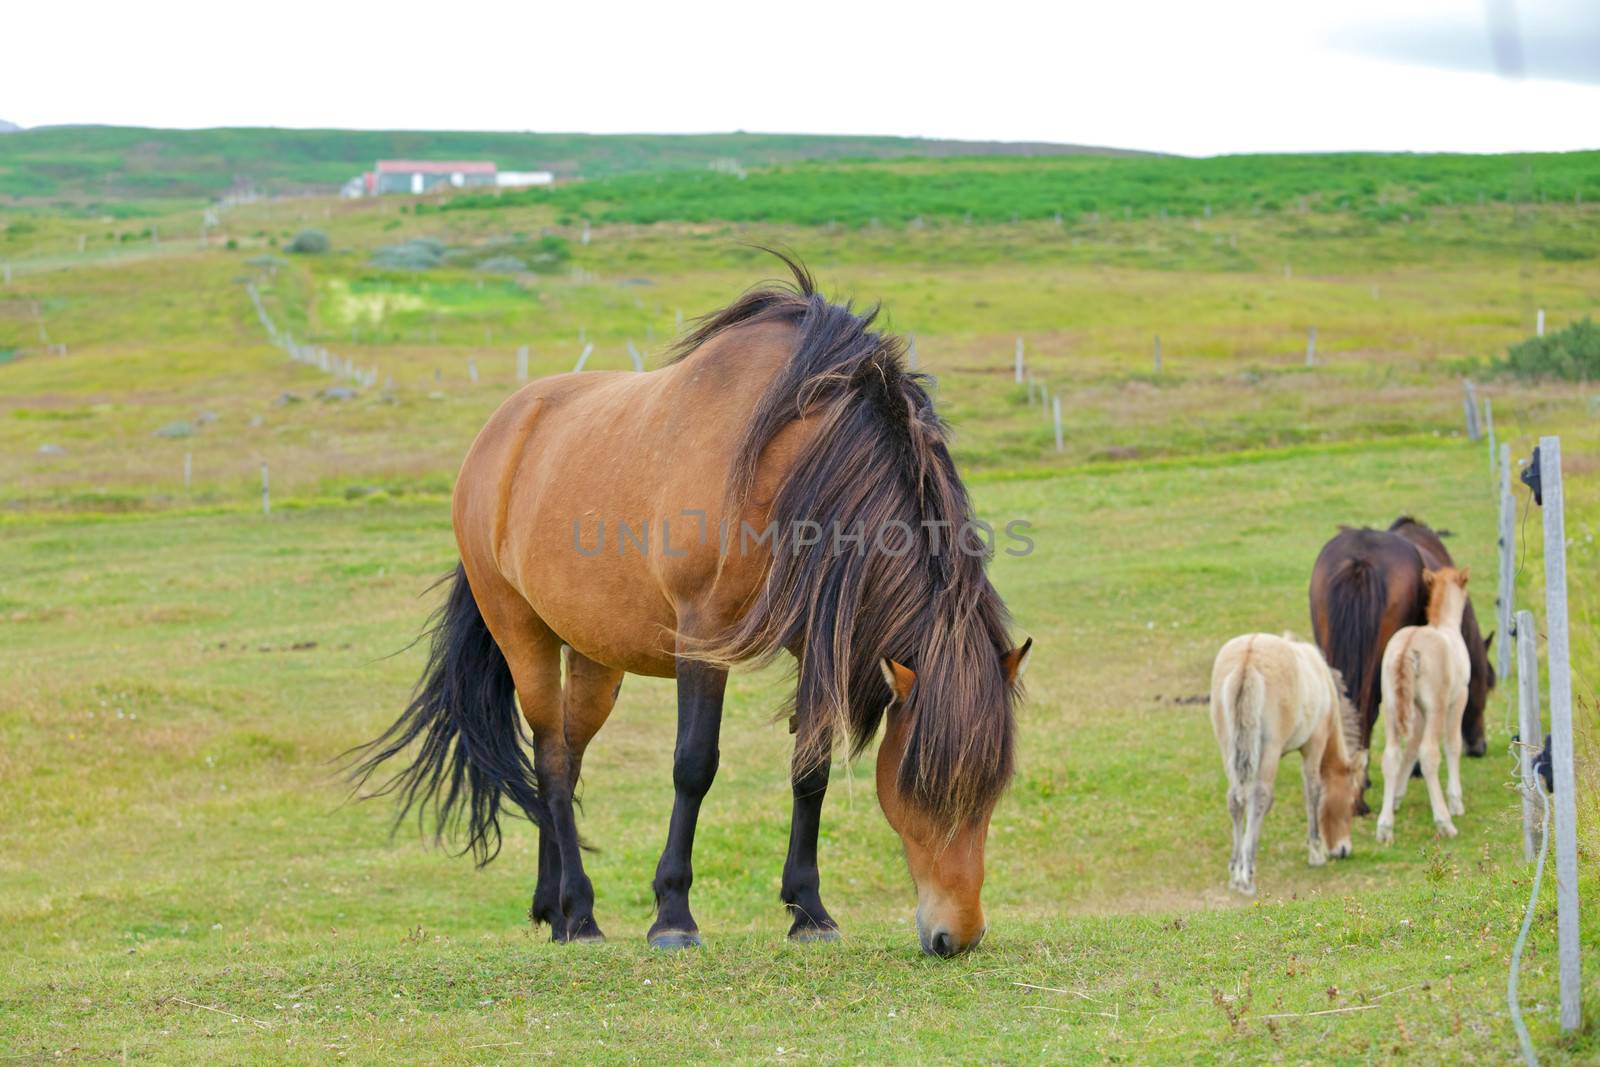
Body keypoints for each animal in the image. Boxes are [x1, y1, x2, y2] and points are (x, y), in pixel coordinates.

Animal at [350, 259, 1030, 959]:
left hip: (594, 657)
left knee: (566, 753)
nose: (958, 935)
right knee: (551, 756)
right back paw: (580, 913)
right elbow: (694, 765)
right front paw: (673, 915)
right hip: (522, 633)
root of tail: (499, 432)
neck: (787, 464)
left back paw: (555, 911)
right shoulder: (703, 636)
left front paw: (809, 912)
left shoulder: (811, 641)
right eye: (922, 785)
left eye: (994, 790)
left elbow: (809, 768)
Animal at [1209, 633, 1363, 895]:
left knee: (1235, 799)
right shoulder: (1314, 744)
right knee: (1259, 795)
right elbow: (1312, 791)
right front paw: (1316, 852)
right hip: (1269, 747)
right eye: (1352, 803)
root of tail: (1247, 659)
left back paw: (1235, 872)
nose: (1343, 850)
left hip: (1229, 746)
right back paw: (1247, 874)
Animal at [1376, 566, 1472, 844]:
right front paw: (1456, 802)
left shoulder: (1416, 711)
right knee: (1429, 754)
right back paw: (1445, 822)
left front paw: (1397, 797)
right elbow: (1453, 744)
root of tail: (1408, 648)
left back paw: (1384, 827)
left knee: (1391, 756)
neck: (1445, 626)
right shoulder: (1458, 699)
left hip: (1391, 708)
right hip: (1436, 707)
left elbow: (1409, 749)